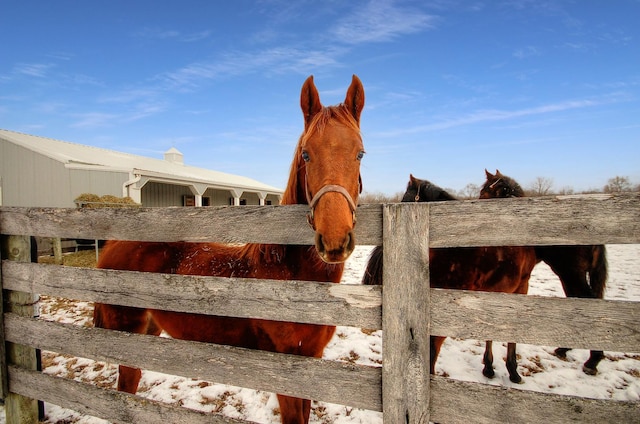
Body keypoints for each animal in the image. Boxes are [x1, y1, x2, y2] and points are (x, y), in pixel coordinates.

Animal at [93, 75, 368, 424]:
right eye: (306, 154)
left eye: (360, 154)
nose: (334, 240)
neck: (288, 276)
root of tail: (113, 244)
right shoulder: (285, 372)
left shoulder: (310, 361)